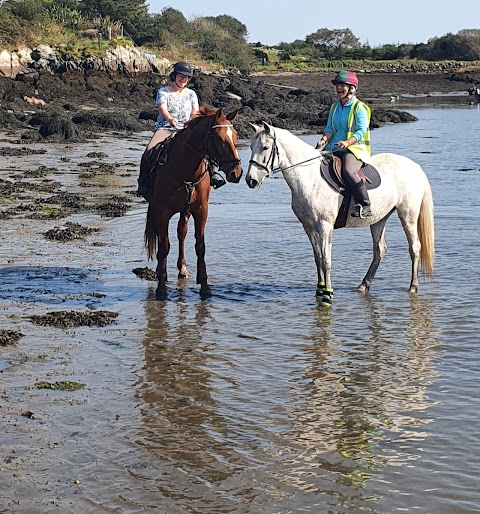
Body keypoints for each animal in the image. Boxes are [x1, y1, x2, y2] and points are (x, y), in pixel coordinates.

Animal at [145, 105, 244, 296]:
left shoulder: (200, 210)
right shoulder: (162, 210)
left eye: (235, 135)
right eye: (219, 138)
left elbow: (200, 246)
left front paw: (204, 286)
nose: (237, 172)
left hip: (186, 211)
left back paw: (182, 268)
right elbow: (164, 246)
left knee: (181, 233)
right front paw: (161, 287)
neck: (185, 169)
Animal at [246, 122, 434, 306]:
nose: (250, 180)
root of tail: (415, 167)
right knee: (380, 250)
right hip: (379, 218)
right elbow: (318, 258)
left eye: (265, 147)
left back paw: (413, 287)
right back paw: (363, 285)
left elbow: (326, 260)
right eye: (251, 146)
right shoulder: (309, 227)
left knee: (415, 247)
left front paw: (327, 295)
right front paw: (320, 289)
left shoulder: (325, 226)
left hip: (408, 215)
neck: (310, 178)